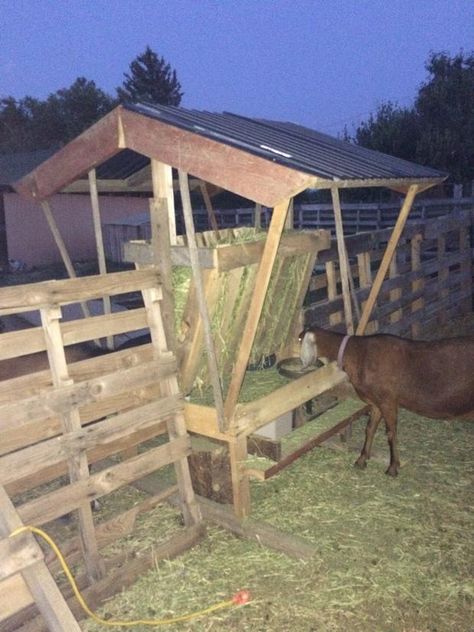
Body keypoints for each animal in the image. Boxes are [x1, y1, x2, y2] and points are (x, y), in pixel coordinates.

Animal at [300, 326, 474, 474]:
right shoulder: (376, 402)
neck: (357, 354)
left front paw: (393, 467)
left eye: (300, 339)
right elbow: (370, 429)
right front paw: (362, 460)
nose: (301, 362)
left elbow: (391, 433)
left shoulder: (388, 400)